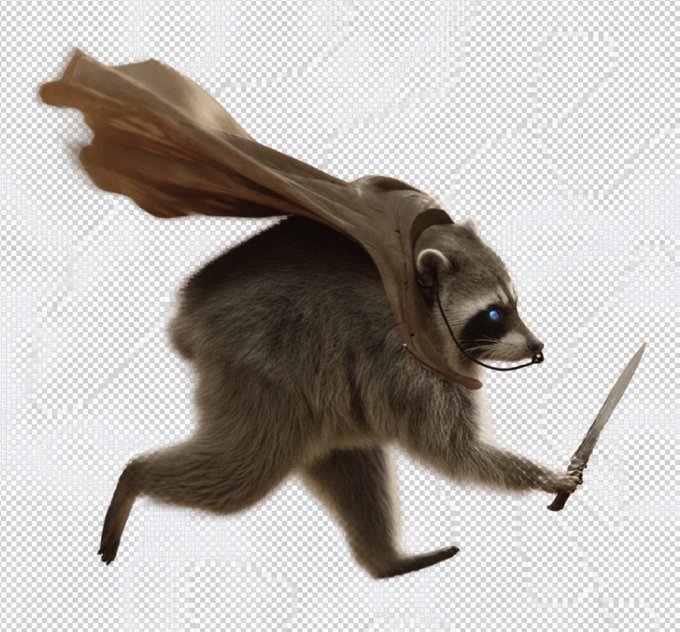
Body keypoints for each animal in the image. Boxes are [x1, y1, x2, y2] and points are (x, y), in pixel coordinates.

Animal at [98, 215, 581, 578]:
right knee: (241, 471)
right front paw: (541, 476)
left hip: (320, 397)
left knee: (352, 466)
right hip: (262, 367)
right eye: (495, 314)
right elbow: (454, 451)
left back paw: (385, 560)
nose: (537, 346)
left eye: (514, 305)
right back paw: (136, 475)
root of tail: (188, 314)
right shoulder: (409, 367)